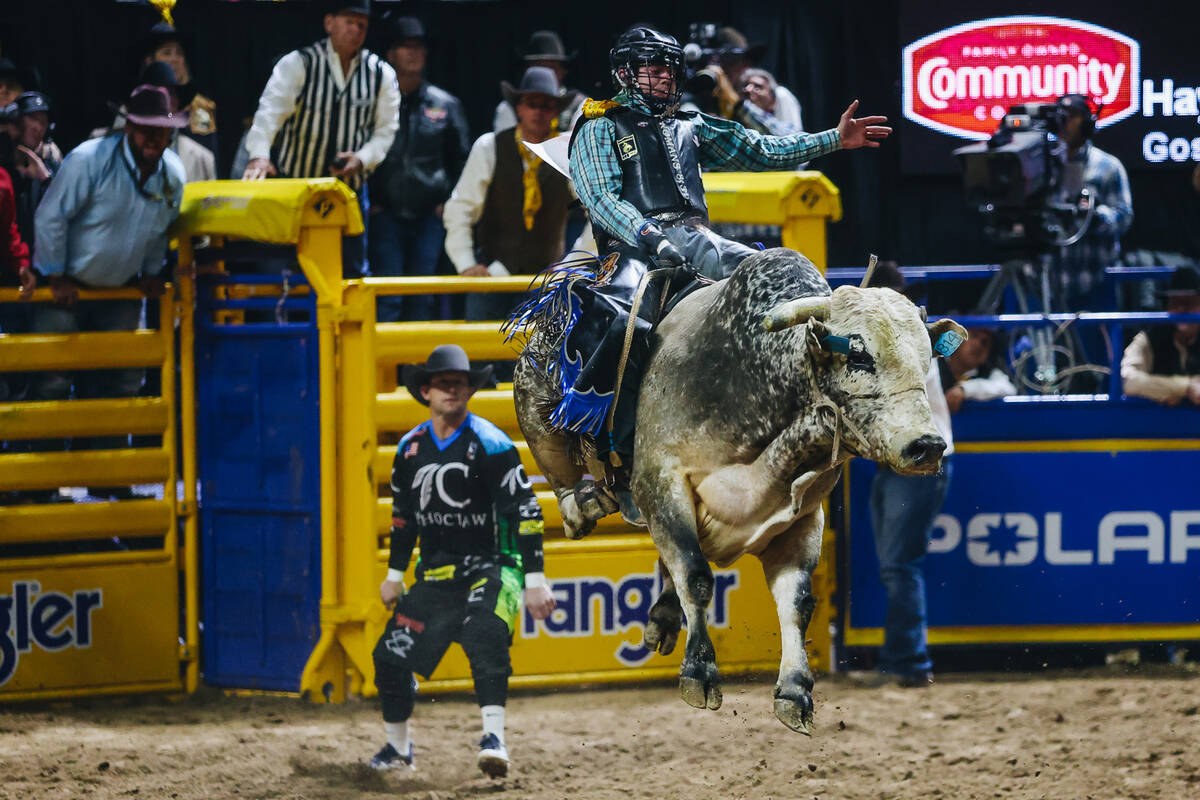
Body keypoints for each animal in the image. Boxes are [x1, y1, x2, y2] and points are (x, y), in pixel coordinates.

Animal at [513, 248, 964, 734]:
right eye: (859, 357)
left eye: (926, 360)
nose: (927, 446)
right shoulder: (663, 481)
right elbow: (696, 576)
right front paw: (700, 672)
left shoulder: (803, 516)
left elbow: (796, 601)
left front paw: (795, 691)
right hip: (534, 392)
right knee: (558, 458)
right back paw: (583, 503)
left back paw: (662, 618)